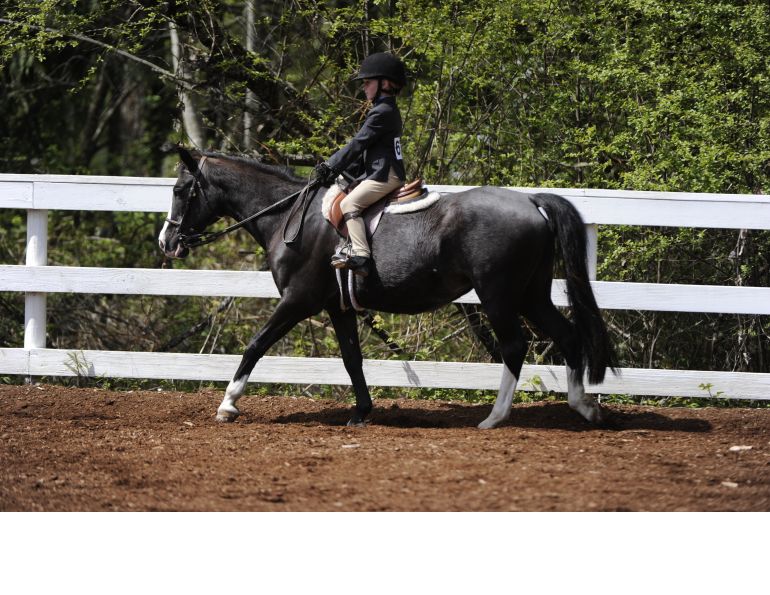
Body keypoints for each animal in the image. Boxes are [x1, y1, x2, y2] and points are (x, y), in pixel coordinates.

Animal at [158, 147, 617, 428]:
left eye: (181, 190)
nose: (166, 242)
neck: (290, 217)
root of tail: (531, 202)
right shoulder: (337, 306)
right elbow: (352, 359)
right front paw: (361, 411)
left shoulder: (298, 301)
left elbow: (255, 346)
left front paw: (227, 404)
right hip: (531, 294)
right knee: (567, 336)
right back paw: (585, 408)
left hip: (499, 295)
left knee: (514, 346)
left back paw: (495, 417)